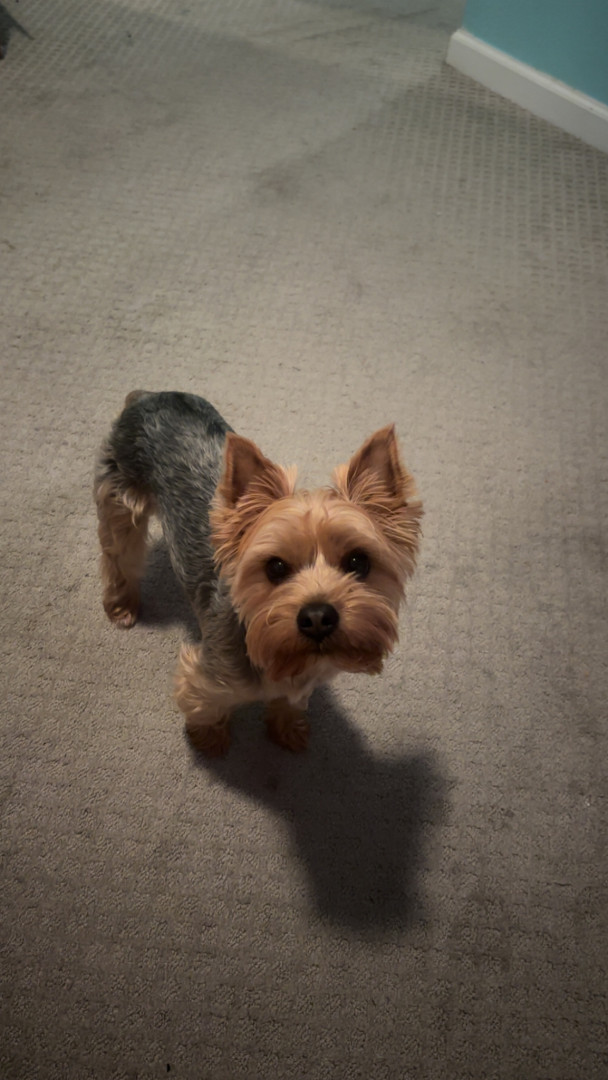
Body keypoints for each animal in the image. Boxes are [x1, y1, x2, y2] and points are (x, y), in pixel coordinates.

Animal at [94, 391, 423, 755]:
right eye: (275, 567)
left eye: (358, 562)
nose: (318, 617)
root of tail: (150, 396)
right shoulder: (208, 677)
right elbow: (205, 707)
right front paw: (209, 741)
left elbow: (289, 702)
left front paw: (287, 728)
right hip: (120, 493)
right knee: (119, 556)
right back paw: (122, 605)